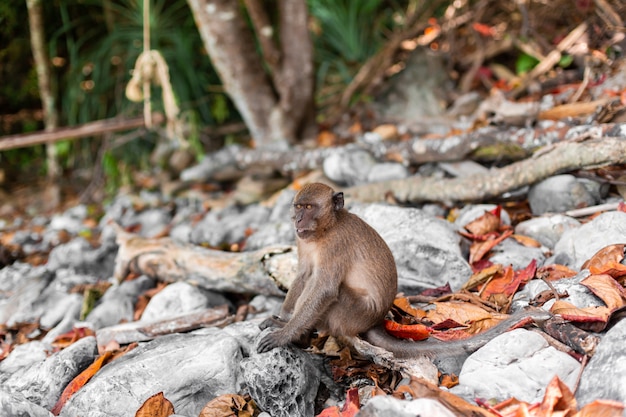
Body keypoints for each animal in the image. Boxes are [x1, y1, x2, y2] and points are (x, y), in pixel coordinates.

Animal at [256, 182, 548, 374]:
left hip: (352, 313)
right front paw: (282, 319)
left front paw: (284, 334)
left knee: (334, 296)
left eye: (309, 207)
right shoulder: (303, 241)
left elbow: (324, 289)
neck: (326, 229)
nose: (298, 220)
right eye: (298, 207)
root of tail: (375, 319)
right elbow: (304, 274)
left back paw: (306, 338)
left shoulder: (336, 245)